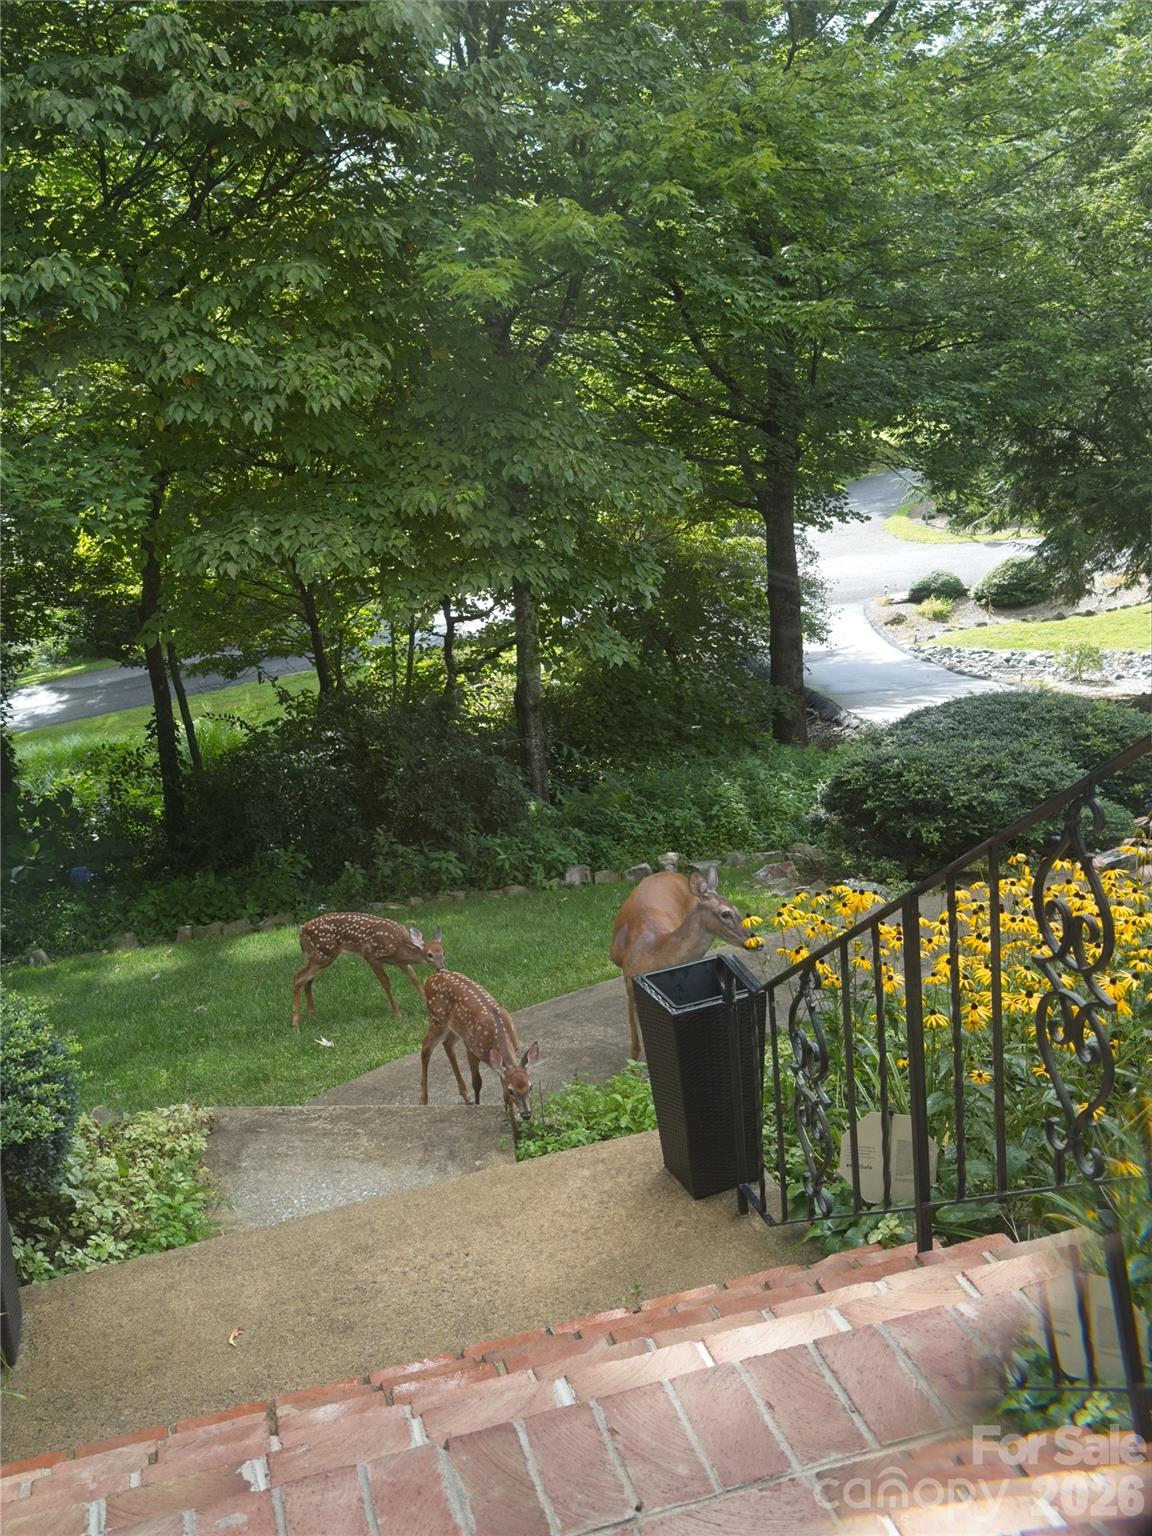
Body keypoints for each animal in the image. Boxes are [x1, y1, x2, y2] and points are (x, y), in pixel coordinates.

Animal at [291, 913, 445, 1029]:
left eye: (443, 952)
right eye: (429, 955)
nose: (442, 968)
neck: (399, 947)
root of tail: (303, 930)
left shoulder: (401, 963)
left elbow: (415, 979)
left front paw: (428, 1009)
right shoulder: (371, 955)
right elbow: (386, 983)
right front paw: (397, 1014)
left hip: (316, 955)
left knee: (307, 980)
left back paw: (312, 1015)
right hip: (324, 953)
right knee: (298, 976)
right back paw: (296, 1023)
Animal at [420, 970, 540, 1128]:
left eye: (530, 1086)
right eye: (512, 1090)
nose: (526, 1114)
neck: (497, 1033)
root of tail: (431, 977)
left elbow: (502, 1089)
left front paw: (509, 1117)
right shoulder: (471, 1048)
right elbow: (477, 1082)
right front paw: (478, 1106)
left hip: (456, 1028)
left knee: (447, 1044)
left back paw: (466, 1096)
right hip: (437, 1019)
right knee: (425, 1047)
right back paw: (423, 1100)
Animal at [610, 868, 749, 1059]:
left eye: (737, 908)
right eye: (725, 913)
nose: (754, 940)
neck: (653, 954)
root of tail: (669, 873)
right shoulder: (630, 986)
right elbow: (638, 1040)